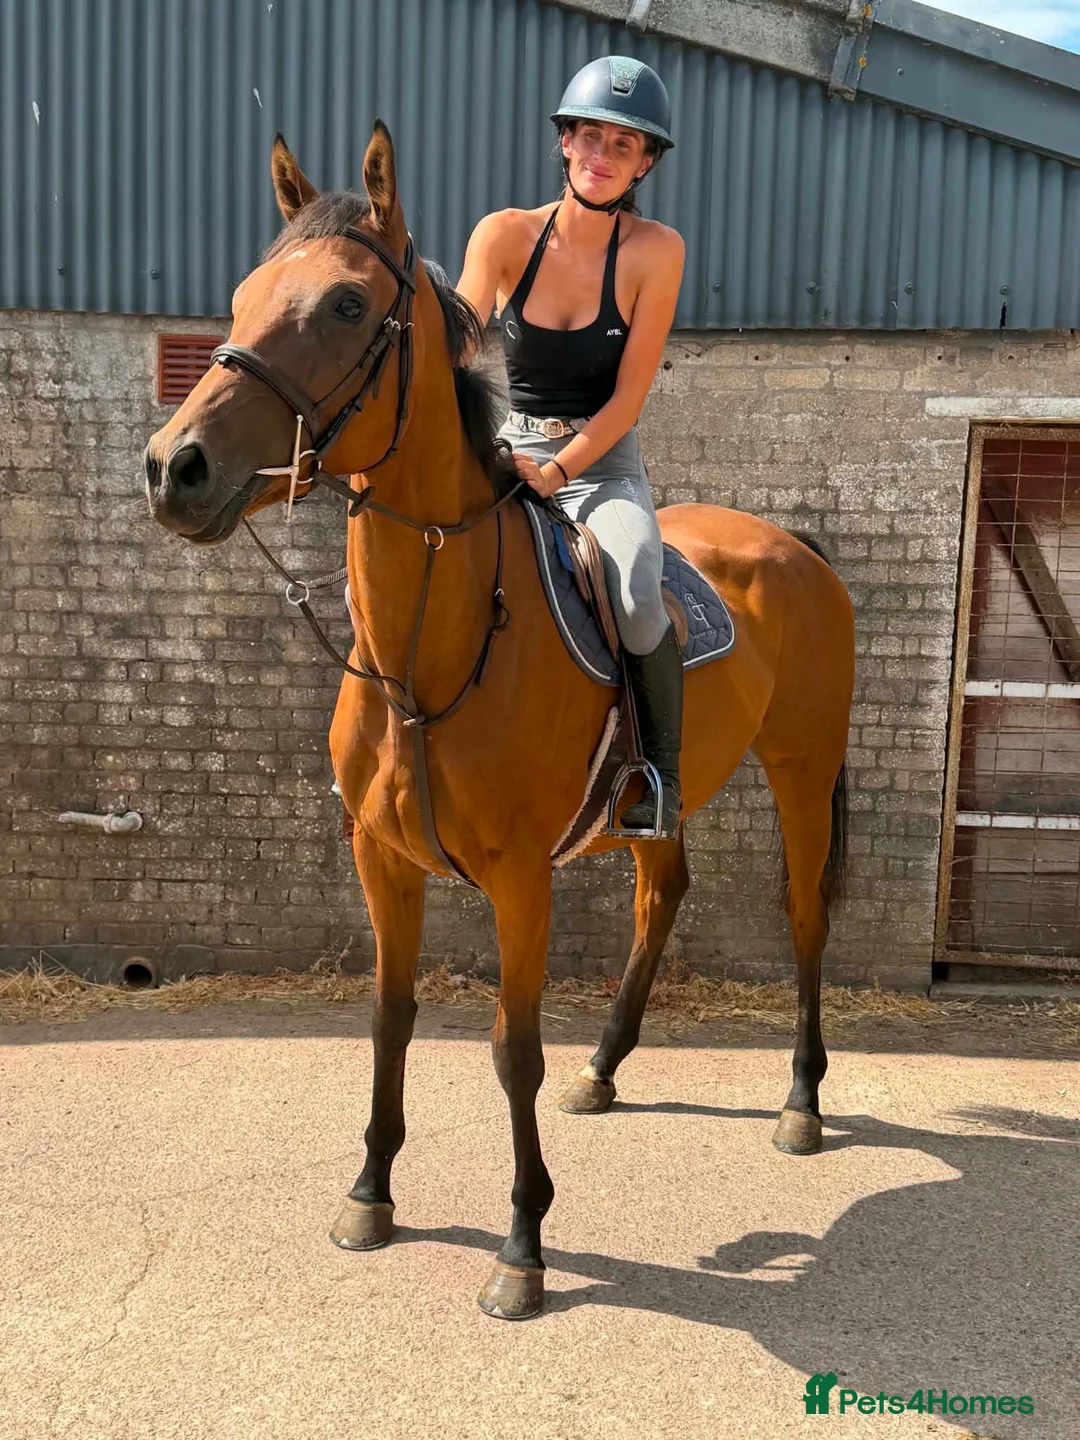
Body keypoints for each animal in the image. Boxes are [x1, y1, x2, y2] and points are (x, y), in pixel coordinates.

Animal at [144, 123, 855, 1321]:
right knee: (663, 896)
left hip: (804, 770)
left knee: (804, 919)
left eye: (346, 306)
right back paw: (605, 1070)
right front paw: (370, 1194)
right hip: (660, 807)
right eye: (243, 296)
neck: (433, 648)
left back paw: (800, 1103)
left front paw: (522, 1246)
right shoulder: (381, 860)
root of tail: (793, 546)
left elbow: (511, 1051)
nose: (172, 468)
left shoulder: (521, 879)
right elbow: (388, 1020)